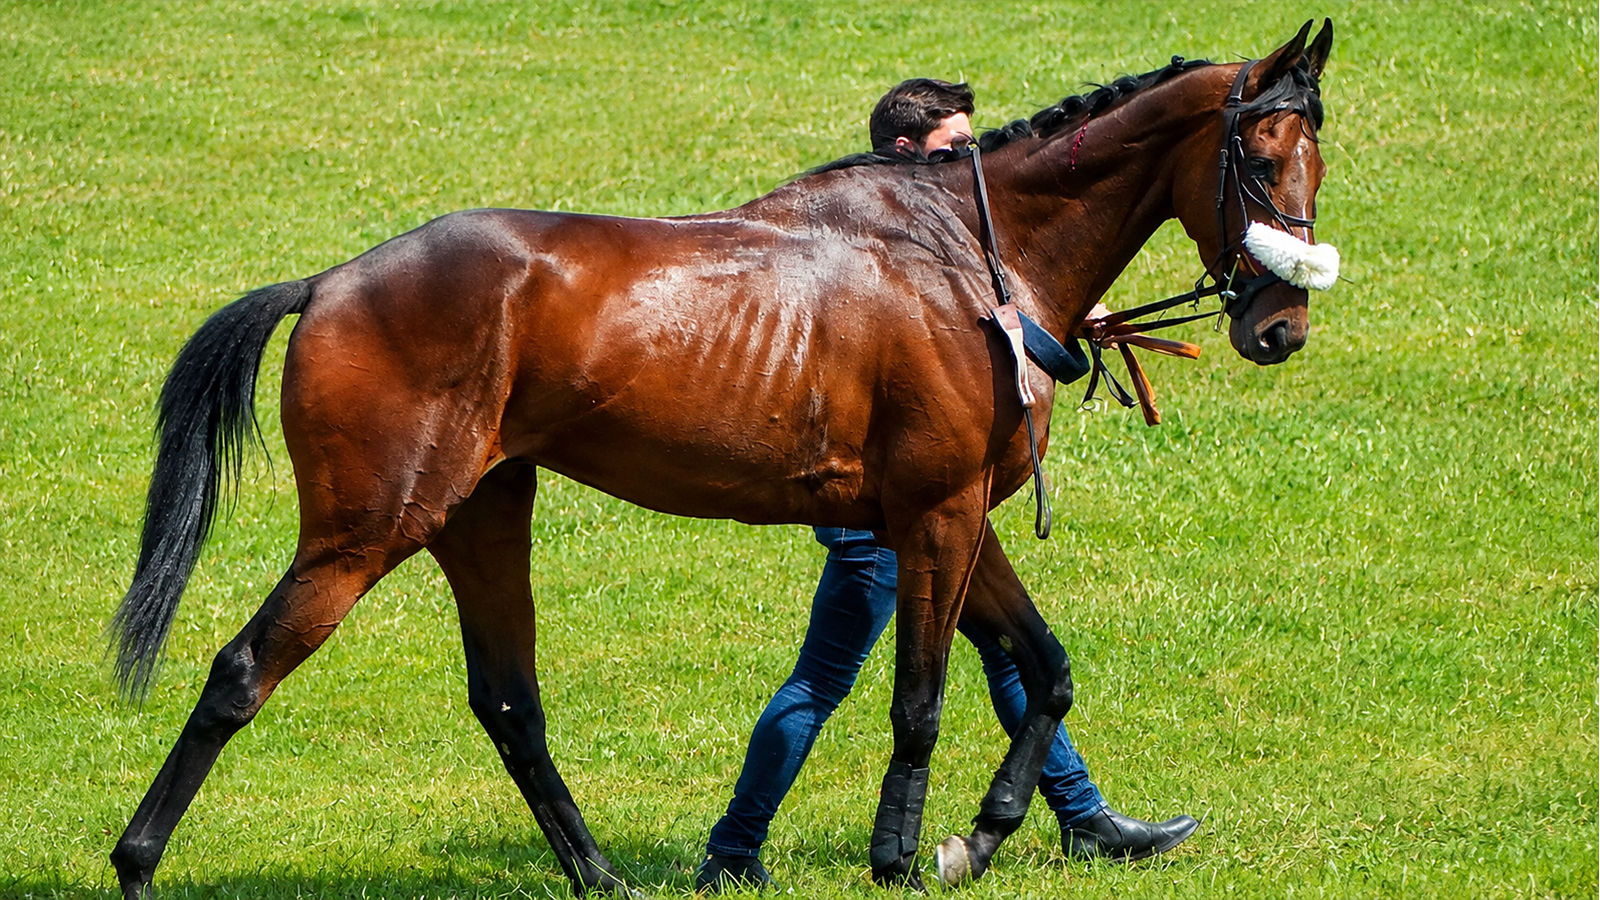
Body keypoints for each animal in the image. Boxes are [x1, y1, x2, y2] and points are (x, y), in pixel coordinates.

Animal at [108, 20, 1334, 897]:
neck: (962, 258)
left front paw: (984, 837)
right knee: (240, 673)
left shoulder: (954, 517)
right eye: (1260, 152)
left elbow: (1047, 669)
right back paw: (136, 863)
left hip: (482, 516)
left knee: (509, 702)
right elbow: (922, 699)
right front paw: (904, 855)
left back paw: (599, 875)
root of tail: (329, 281)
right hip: (368, 531)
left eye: (1320, 159)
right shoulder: (936, 517)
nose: (1279, 327)